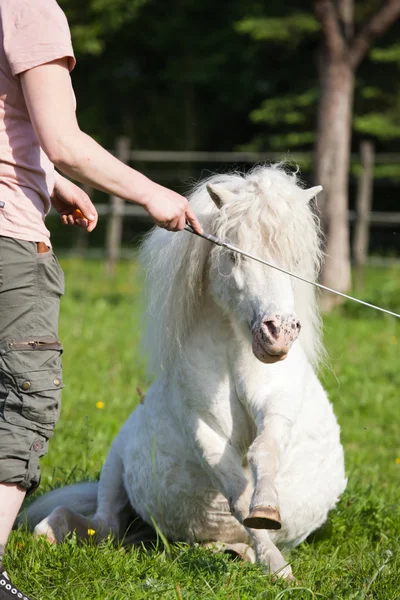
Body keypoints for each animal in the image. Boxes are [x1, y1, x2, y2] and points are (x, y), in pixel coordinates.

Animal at [22, 164, 346, 580]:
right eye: (232, 255)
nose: (279, 333)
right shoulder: (204, 429)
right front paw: (277, 565)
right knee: (97, 524)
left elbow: (264, 452)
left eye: (295, 259)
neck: (234, 356)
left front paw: (268, 520)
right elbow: (237, 495)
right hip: (114, 478)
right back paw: (48, 533)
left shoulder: (278, 405)